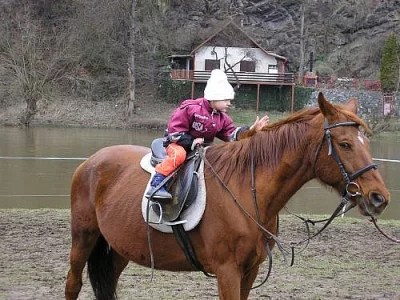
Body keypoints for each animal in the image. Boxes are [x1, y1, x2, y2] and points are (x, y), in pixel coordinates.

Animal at [65, 93, 390, 300]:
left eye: (365, 142)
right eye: (345, 144)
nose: (379, 197)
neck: (247, 190)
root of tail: (90, 162)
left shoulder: (249, 270)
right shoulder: (227, 271)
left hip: (120, 248)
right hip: (84, 237)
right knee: (73, 285)